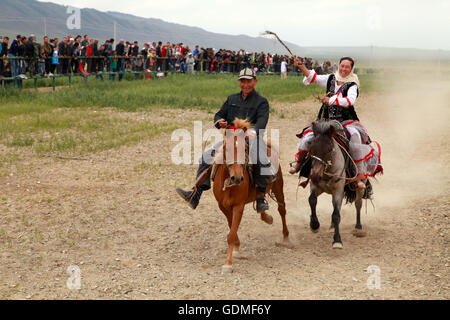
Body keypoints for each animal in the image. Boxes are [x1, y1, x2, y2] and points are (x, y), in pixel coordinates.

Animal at [214, 119, 294, 274]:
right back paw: (267, 217)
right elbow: (232, 228)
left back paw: (286, 238)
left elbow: (231, 234)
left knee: (282, 210)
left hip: (278, 187)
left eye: (245, 149)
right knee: (261, 203)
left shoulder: (238, 206)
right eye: (227, 149)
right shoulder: (223, 207)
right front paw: (237, 249)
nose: (237, 178)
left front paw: (228, 264)